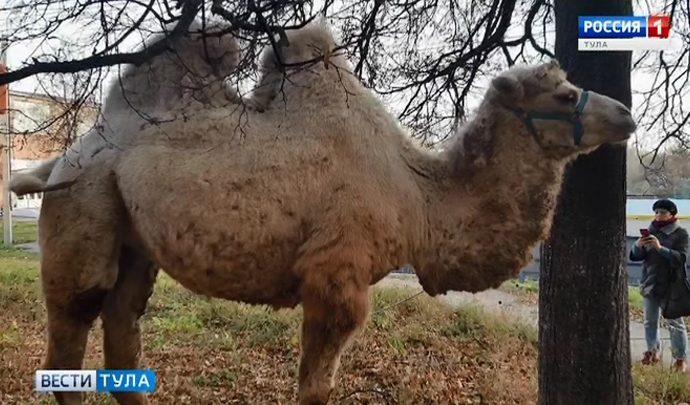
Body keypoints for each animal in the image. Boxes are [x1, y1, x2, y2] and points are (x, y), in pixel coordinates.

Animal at [11, 22, 636, 405]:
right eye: (563, 95)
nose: (625, 114)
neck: (418, 197)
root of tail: (67, 154)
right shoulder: (336, 273)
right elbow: (315, 388)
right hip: (84, 201)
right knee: (75, 318)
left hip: (134, 238)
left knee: (124, 318)